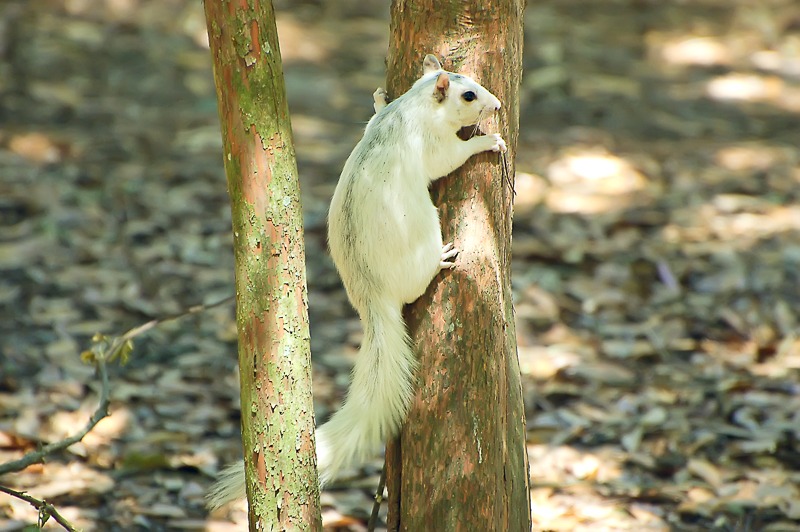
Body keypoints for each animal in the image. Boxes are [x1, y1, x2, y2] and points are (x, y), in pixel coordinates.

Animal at [207, 54, 506, 510]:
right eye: (469, 95)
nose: (498, 106)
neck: (411, 107)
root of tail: (373, 297)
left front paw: (378, 95)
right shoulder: (433, 145)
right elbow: (451, 158)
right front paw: (487, 142)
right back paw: (440, 260)